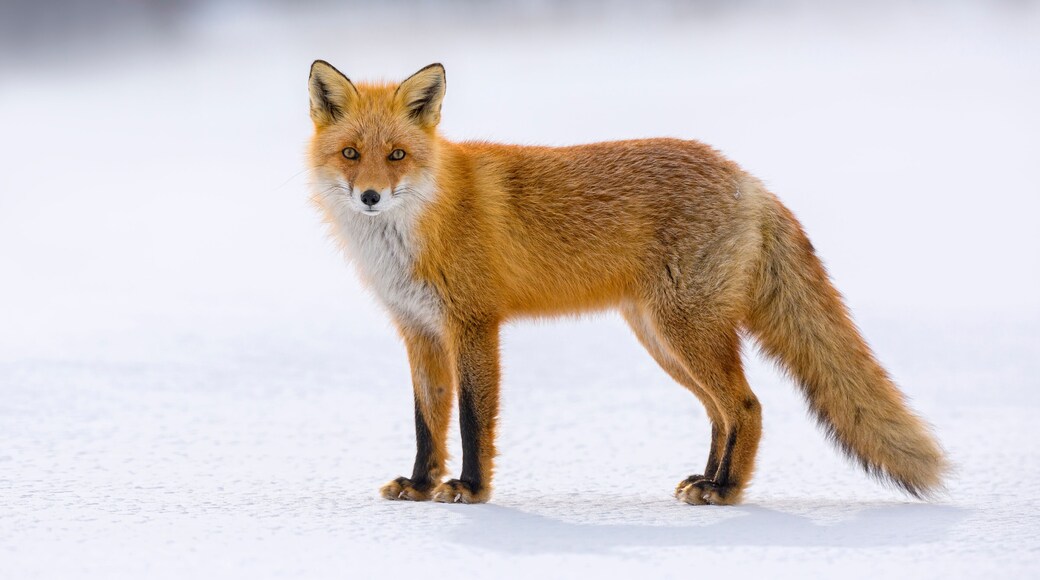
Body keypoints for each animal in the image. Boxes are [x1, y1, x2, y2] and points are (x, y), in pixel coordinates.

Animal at [306, 60, 947, 505]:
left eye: (397, 155)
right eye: (351, 153)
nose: (370, 197)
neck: (417, 228)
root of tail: (748, 178)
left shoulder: (473, 325)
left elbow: (469, 419)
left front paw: (470, 489)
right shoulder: (417, 329)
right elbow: (427, 421)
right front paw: (419, 486)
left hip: (684, 332)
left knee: (748, 404)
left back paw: (725, 491)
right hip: (663, 341)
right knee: (723, 413)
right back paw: (708, 479)